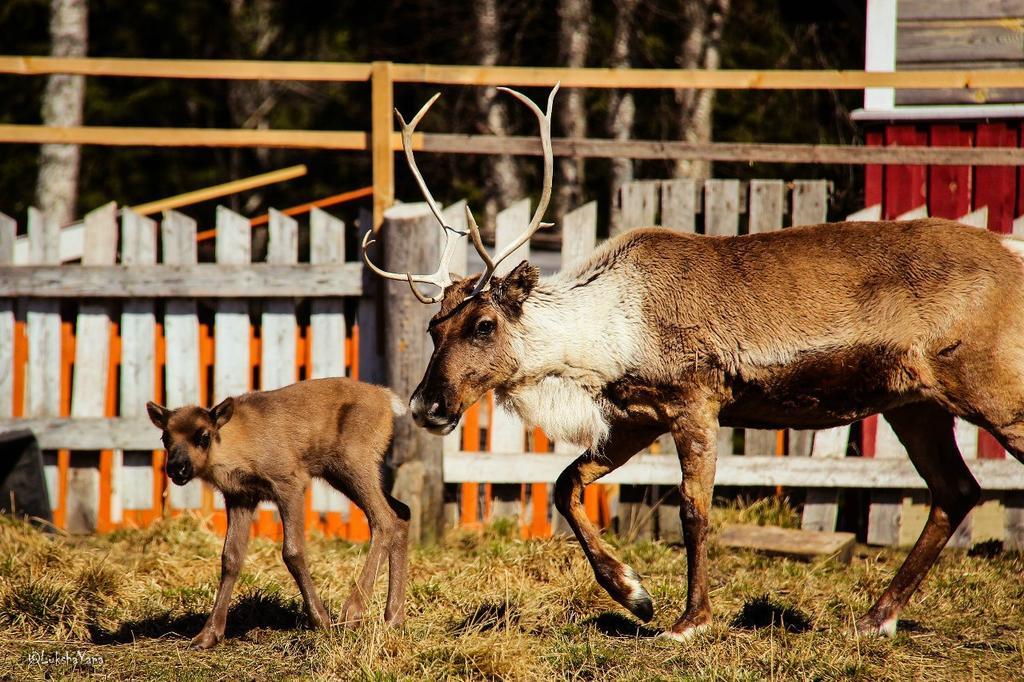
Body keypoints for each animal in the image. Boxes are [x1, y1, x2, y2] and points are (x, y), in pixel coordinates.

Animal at [146, 376, 409, 647]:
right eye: (165, 438)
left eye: (204, 436)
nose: (177, 468)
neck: (236, 448)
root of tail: (388, 399)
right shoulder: (240, 497)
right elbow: (230, 558)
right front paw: (208, 634)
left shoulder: (289, 482)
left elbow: (292, 551)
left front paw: (320, 619)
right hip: (341, 473)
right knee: (402, 512)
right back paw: (393, 617)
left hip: (354, 461)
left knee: (385, 520)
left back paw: (352, 612)